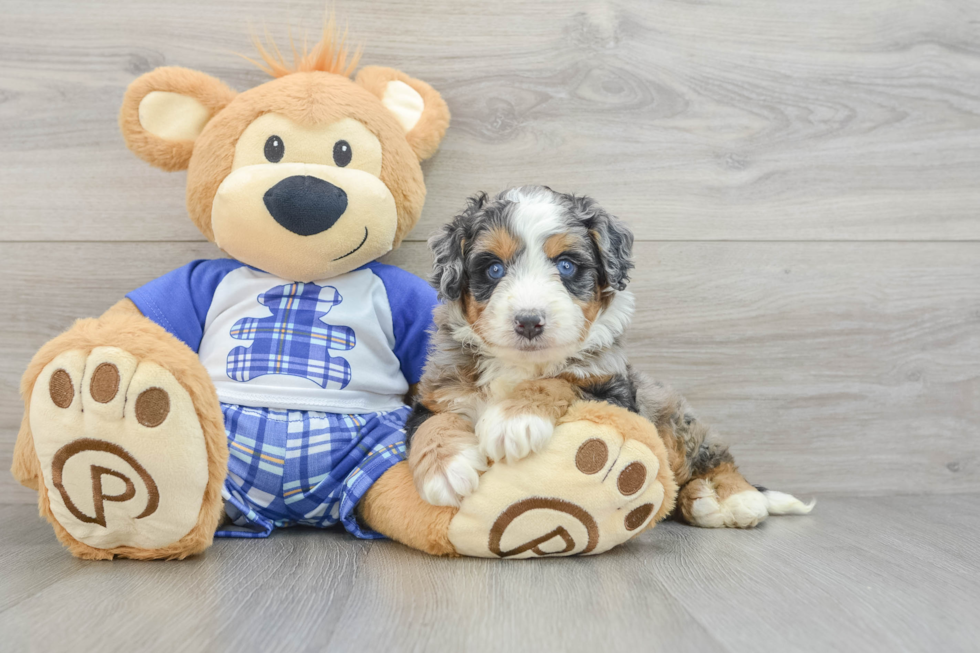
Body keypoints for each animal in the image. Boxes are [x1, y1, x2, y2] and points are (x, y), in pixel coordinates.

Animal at [404, 186, 812, 528]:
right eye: (493, 269)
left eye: (566, 265)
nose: (529, 322)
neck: (522, 365)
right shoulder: (437, 392)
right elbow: (431, 423)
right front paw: (446, 469)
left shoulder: (616, 395)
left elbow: (560, 381)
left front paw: (513, 420)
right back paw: (702, 502)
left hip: (675, 421)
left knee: (715, 457)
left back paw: (735, 499)